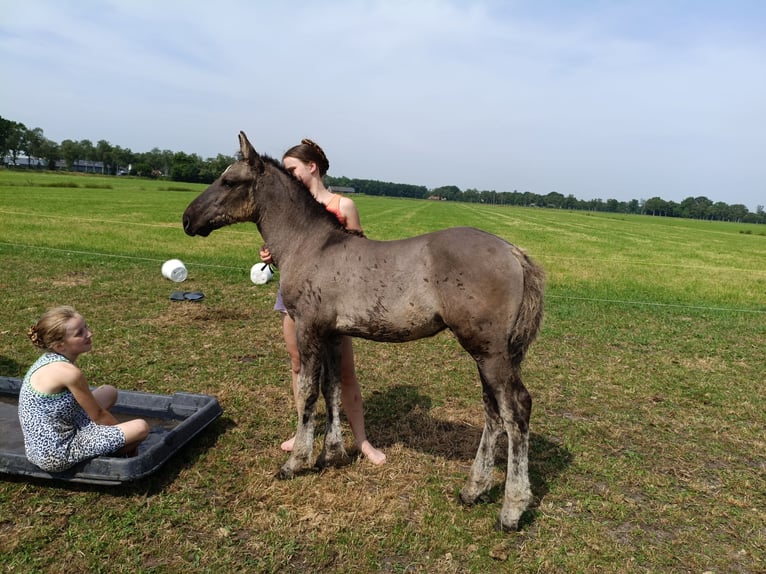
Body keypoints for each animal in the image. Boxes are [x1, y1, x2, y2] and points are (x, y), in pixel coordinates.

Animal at [182, 132, 545, 531]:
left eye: (229, 181)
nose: (187, 219)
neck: (310, 245)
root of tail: (513, 252)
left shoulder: (308, 328)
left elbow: (308, 393)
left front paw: (296, 462)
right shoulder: (331, 334)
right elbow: (333, 388)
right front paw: (332, 454)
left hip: (489, 351)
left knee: (515, 409)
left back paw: (511, 509)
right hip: (490, 353)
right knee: (492, 410)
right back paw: (473, 490)